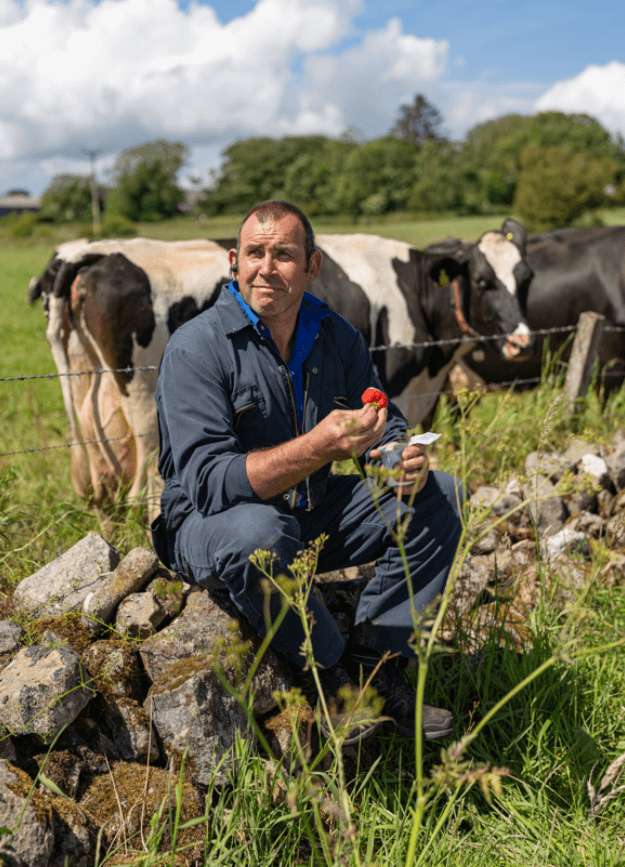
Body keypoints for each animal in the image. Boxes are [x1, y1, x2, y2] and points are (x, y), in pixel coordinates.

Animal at [31, 224, 532, 520]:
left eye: (525, 278)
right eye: (483, 281)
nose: (522, 340)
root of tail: (97, 253)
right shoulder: (398, 386)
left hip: (88, 383)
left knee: (99, 474)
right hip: (141, 401)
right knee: (146, 489)